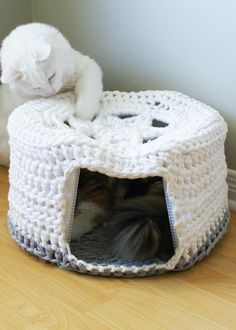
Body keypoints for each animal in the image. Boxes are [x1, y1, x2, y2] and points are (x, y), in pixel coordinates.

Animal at [0, 22, 103, 166]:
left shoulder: (86, 66)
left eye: (51, 76)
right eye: (36, 88)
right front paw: (82, 126)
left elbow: (86, 98)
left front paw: (83, 116)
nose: (51, 93)